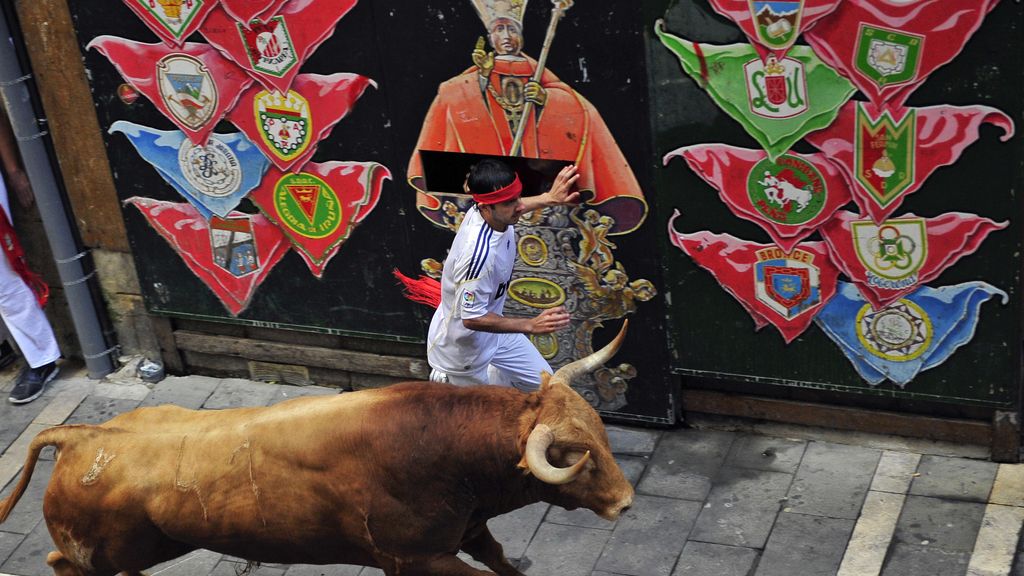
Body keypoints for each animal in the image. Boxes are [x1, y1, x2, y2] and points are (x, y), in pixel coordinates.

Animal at [0, 319, 634, 569]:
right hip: (108, 555)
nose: (627, 502)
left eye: (602, 435)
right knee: (62, 564)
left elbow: (504, 563)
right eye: (572, 459)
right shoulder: (419, 561)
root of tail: (80, 435)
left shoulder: (469, 531)